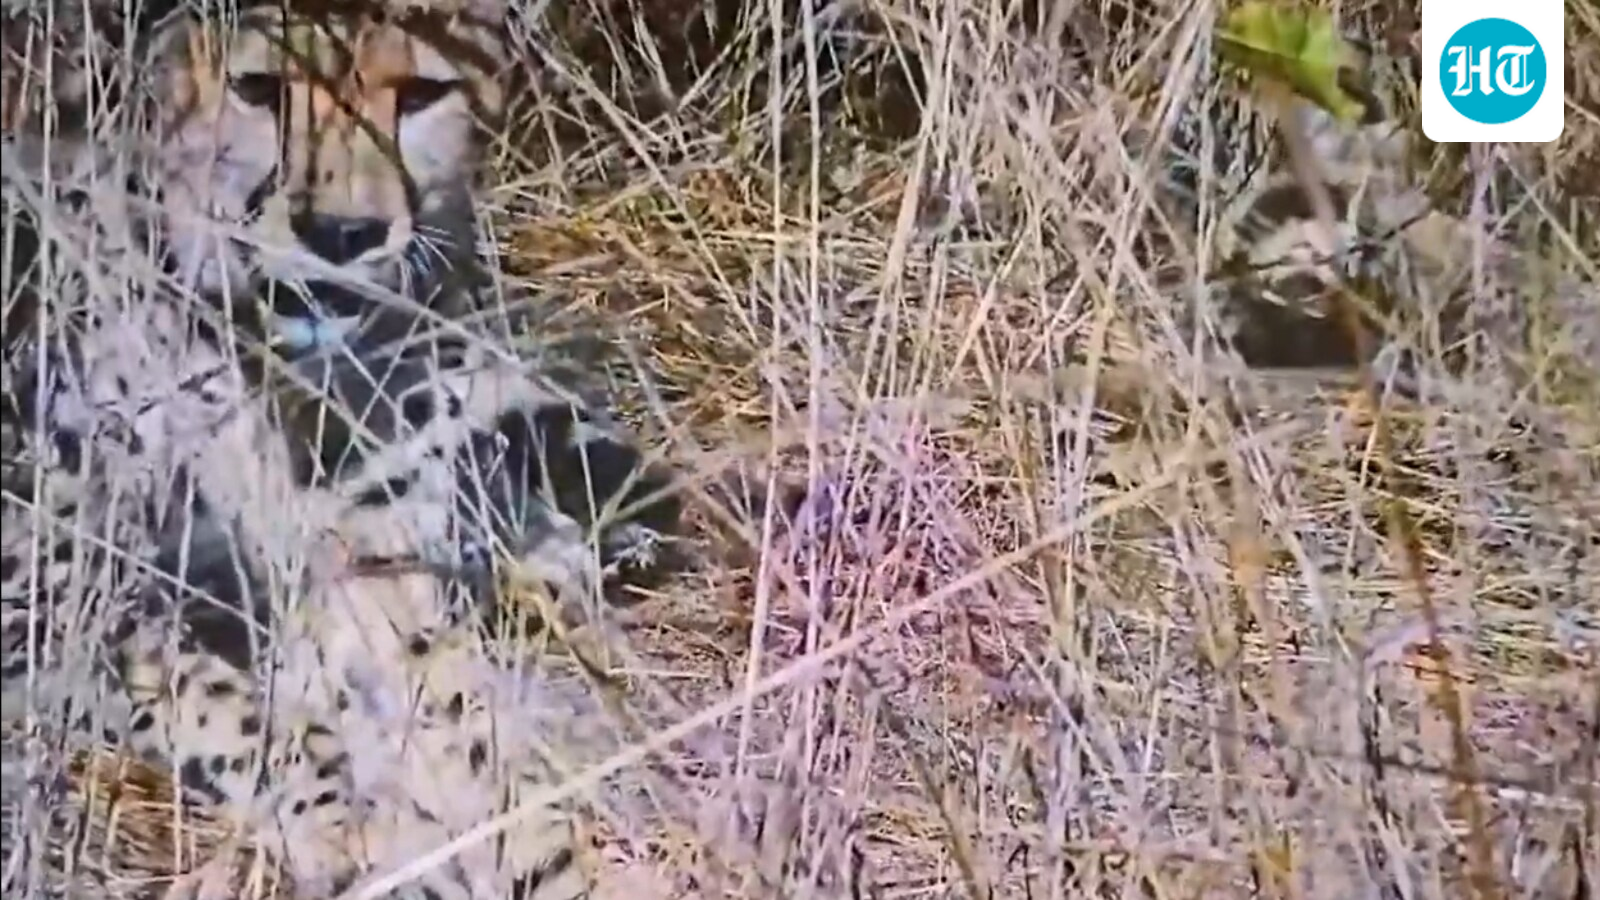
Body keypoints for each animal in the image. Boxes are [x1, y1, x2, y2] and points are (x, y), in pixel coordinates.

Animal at [2, 1, 685, 897]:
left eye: (421, 93)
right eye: (258, 88)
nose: (342, 233)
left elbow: (449, 710)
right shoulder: (42, 567)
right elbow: (209, 688)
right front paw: (345, 820)